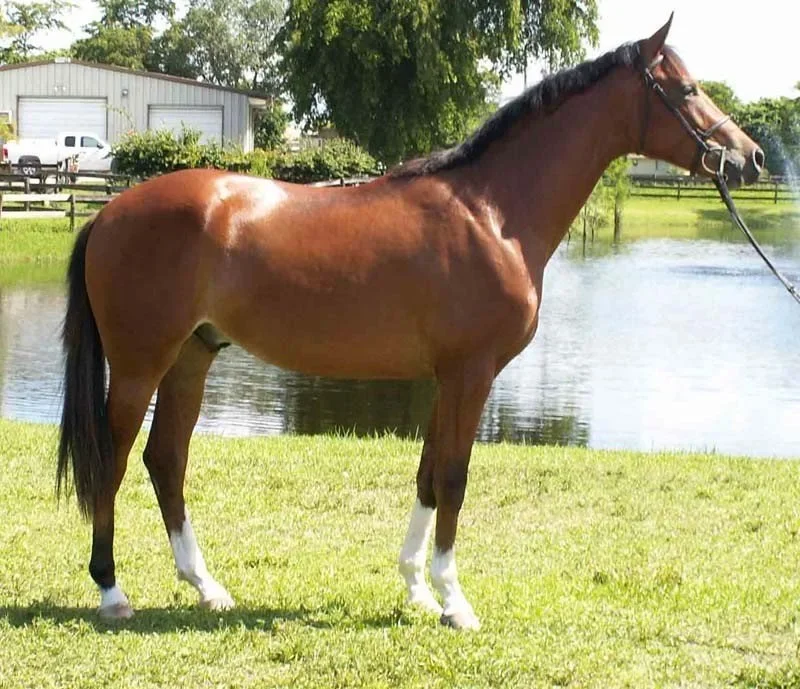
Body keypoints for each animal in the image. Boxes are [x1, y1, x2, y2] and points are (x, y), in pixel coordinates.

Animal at [57, 17, 764, 630]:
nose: (751, 158)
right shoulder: (472, 375)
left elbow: (427, 474)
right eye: (687, 90)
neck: (491, 213)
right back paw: (112, 592)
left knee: (165, 460)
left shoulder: (445, 379)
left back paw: (208, 587)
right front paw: (456, 602)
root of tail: (110, 212)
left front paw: (419, 590)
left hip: (192, 357)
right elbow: (454, 476)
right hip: (141, 364)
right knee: (115, 460)